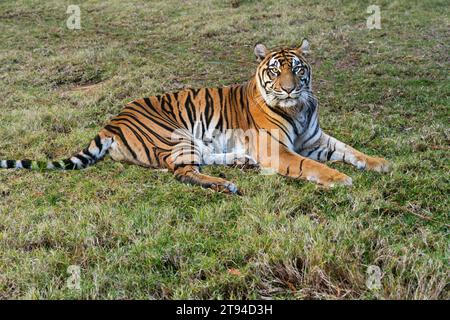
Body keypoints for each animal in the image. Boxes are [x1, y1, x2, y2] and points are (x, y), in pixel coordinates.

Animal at [0, 40, 390, 195]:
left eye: (297, 69)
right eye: (275, 71)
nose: (290, 89)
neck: (298, 109)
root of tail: (113, 120)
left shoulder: (316, 139)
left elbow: (350, 150)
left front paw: (381, 163)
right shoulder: (278, 151)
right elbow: (313, 166)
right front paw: (340, 179)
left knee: (195, 162)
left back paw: (240, 163)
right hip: (175, 134)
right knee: (181, 172)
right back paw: (226, 184)